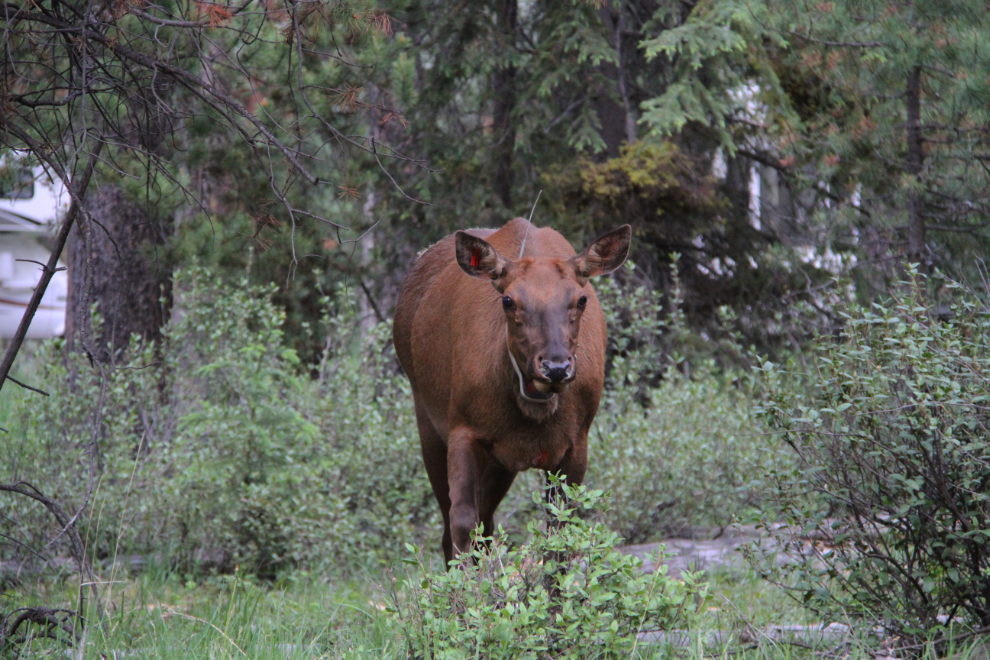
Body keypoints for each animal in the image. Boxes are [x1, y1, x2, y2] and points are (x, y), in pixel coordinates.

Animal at [392, 217, 632, 564]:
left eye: (581, 299)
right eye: (508, 300)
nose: (556, 366)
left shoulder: (578, 441)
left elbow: (560, 529)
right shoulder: (463, 429)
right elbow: (462, 522)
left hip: (500, 462)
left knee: (488, 523)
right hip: (427, 419)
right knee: (455, 527)